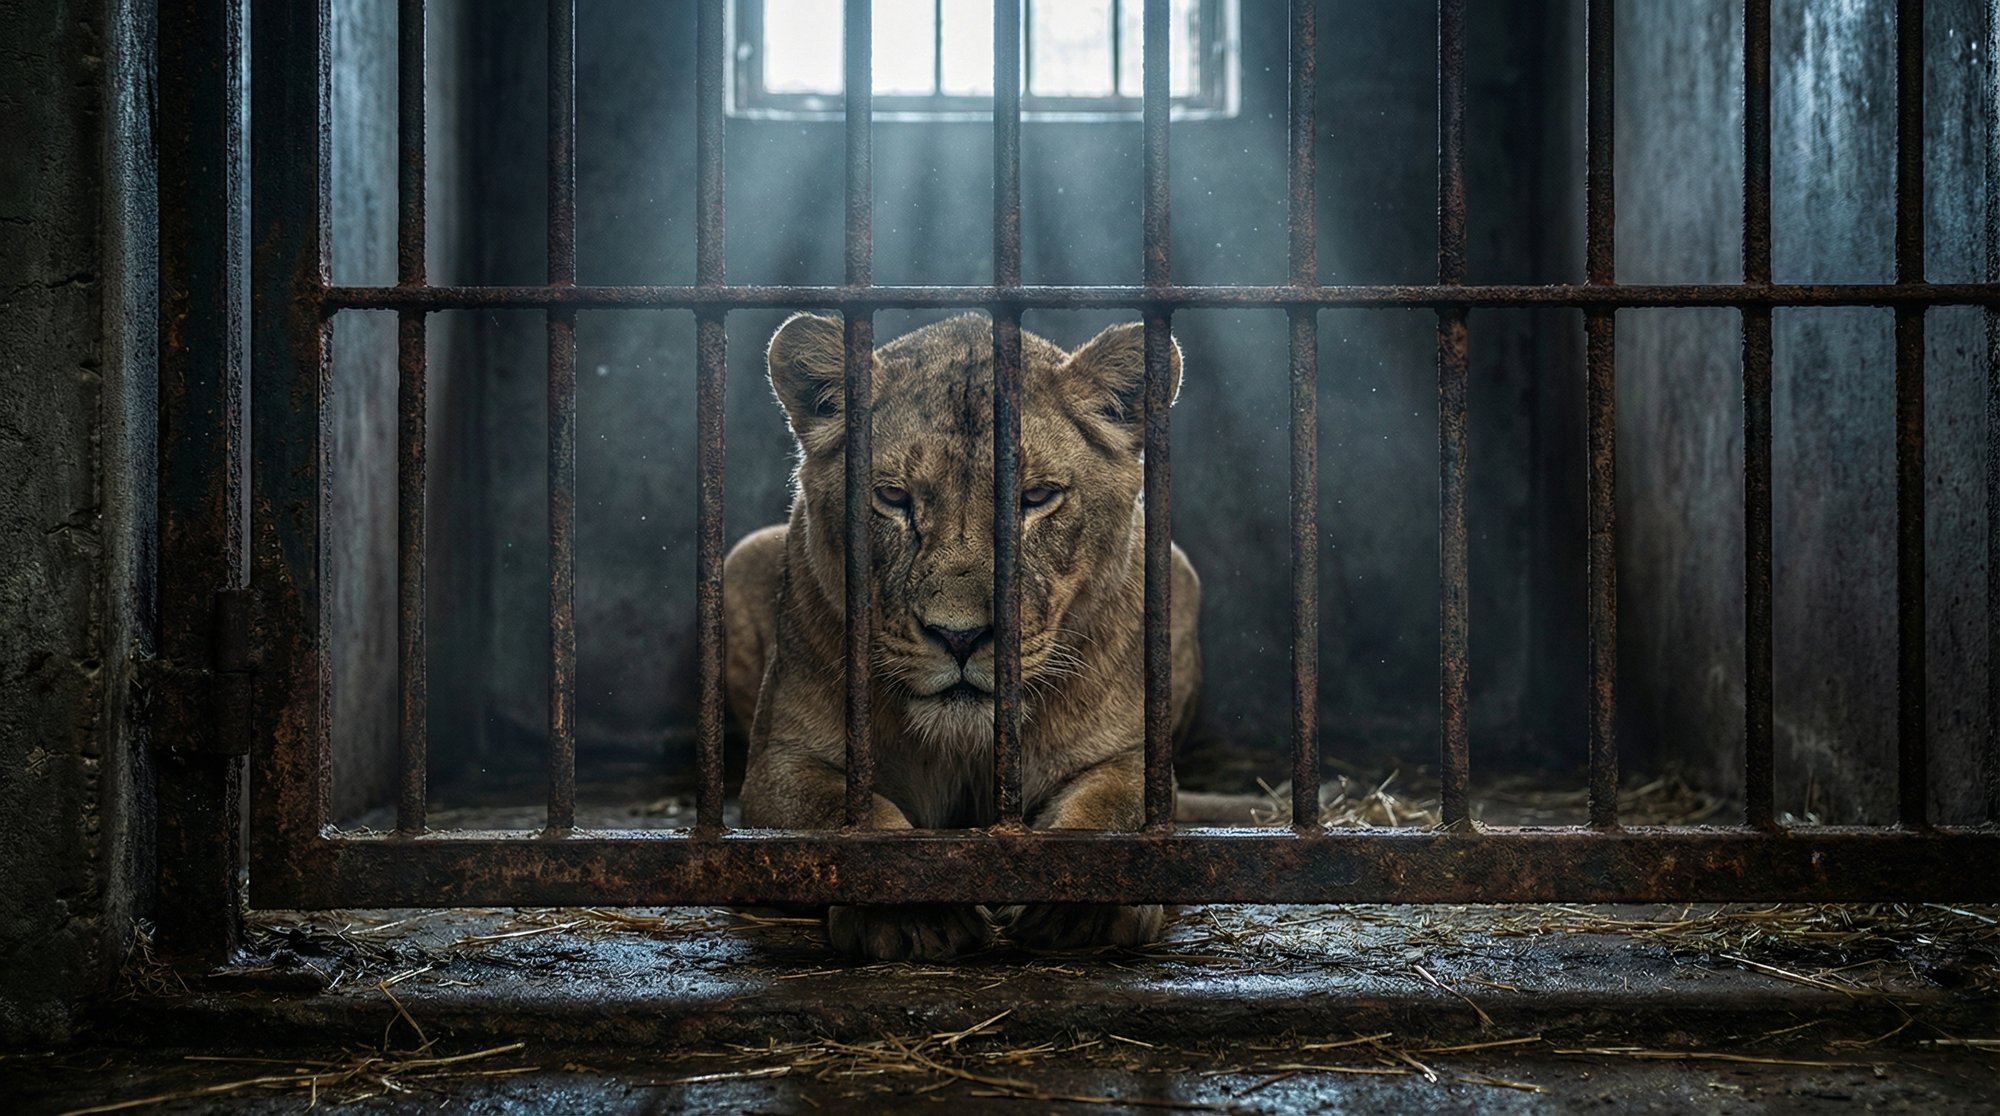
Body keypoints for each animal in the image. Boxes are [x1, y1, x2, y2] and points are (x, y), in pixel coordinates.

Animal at [725, 311, 1201, 962]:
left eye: (1036, 497)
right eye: (892, 497)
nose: (960, 636)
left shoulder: (1130, 760)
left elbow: (1108, 816)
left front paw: (1086, 901)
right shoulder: (779, 768)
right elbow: (853, 822)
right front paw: (914, 908)